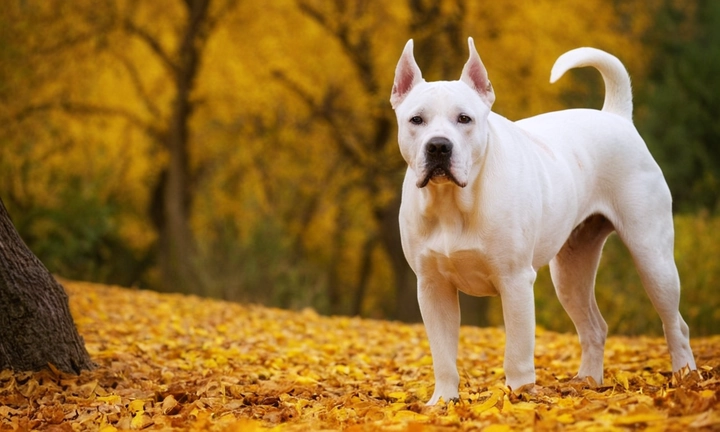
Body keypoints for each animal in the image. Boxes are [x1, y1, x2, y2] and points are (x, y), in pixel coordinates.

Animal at [390, 38, 696, 404]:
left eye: (465, 118)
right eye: (416, 119)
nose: (438, 146)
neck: (452, 204)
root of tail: (617, 117)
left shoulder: (515, 281)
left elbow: (517, 351)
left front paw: (518, 397)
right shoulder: (433, 287)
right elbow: (443, 354)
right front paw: (444, 402)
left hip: (652, 257)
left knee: (675, 324)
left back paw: (686, 378)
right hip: (570, 273)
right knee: (594, 327)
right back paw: (588, 383)